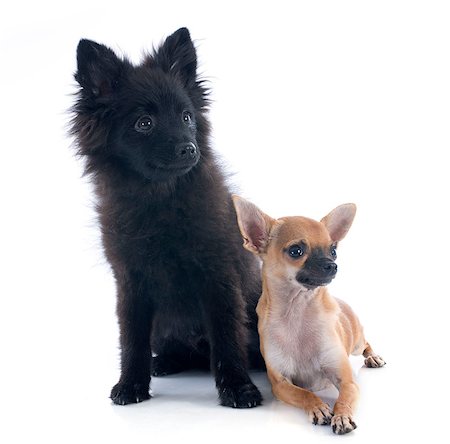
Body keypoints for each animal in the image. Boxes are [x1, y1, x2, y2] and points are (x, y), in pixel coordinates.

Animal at [70, 28, 264, 410]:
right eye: (144, 123)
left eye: (186, 117)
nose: (190, 148)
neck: (159, 202)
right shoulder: (130, 281)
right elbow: (131, 339)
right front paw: (130, 384)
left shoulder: (218, 275)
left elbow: (226, 337)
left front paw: (238, 387)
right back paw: (164, 363)